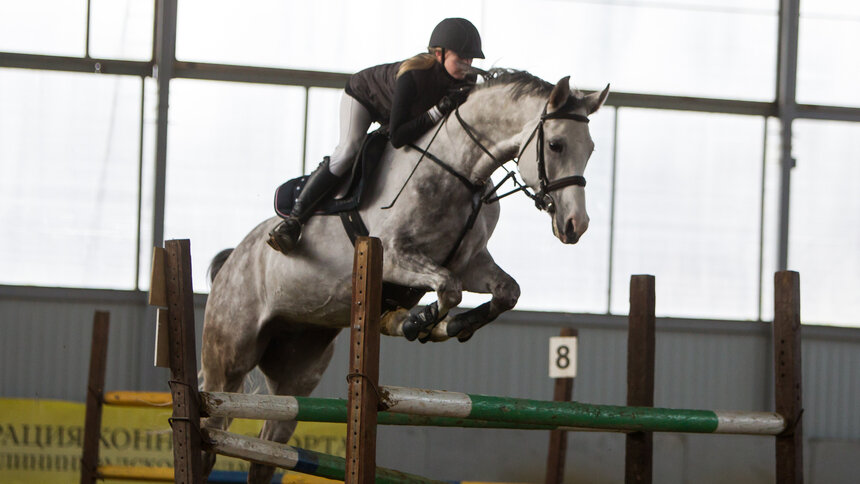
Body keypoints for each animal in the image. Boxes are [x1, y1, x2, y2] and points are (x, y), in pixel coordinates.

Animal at [201, 70, 608, 482]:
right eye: (556, 145)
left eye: (590, 149)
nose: (575, 225)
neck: (460, 171)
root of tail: (232, 260)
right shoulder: (396, 256)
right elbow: (449, 288)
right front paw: (420, 321)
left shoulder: (471, 263)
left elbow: (506, 291)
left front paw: (450, 325)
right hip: (228, 355)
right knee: (212, 427)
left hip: (298, 369)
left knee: (267, 449)